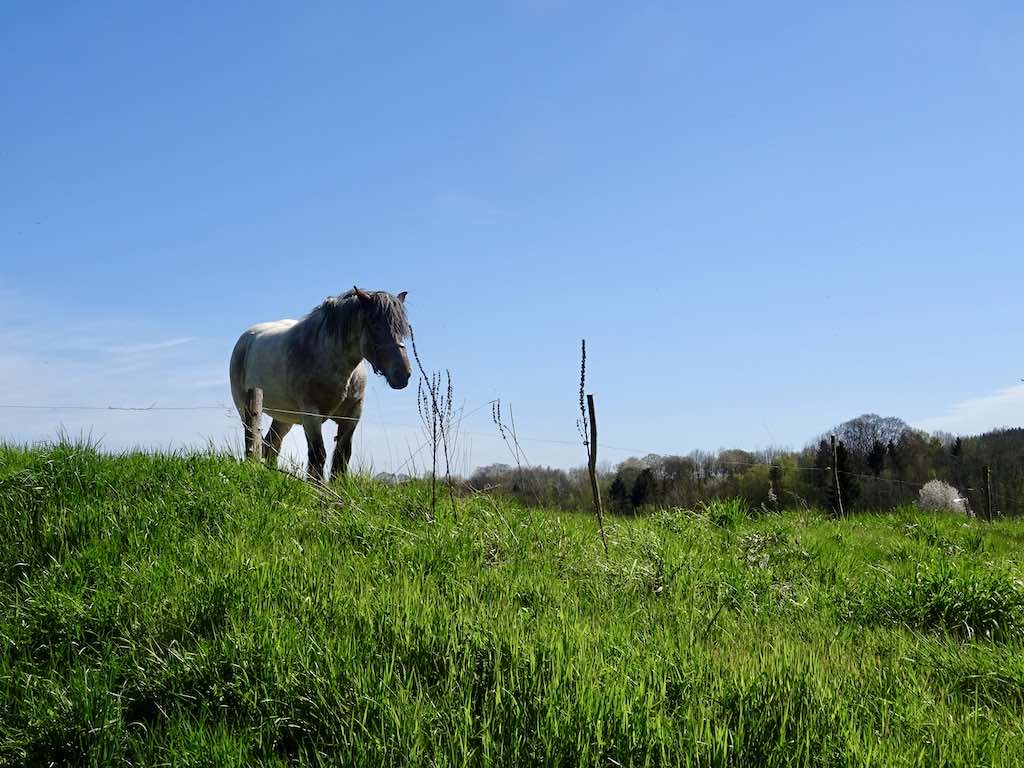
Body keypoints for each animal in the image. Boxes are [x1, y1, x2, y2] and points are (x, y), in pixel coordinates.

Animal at [229, 287, 411, 481]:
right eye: (374, 324)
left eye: (402, 328)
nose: (403, 374)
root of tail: (246, 338)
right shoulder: (311, 415)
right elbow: (318, 456)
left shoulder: (352, 415)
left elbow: (342, 457)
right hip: (245, 409)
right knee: (255, 440)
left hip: (284, 417)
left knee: (272, 445)